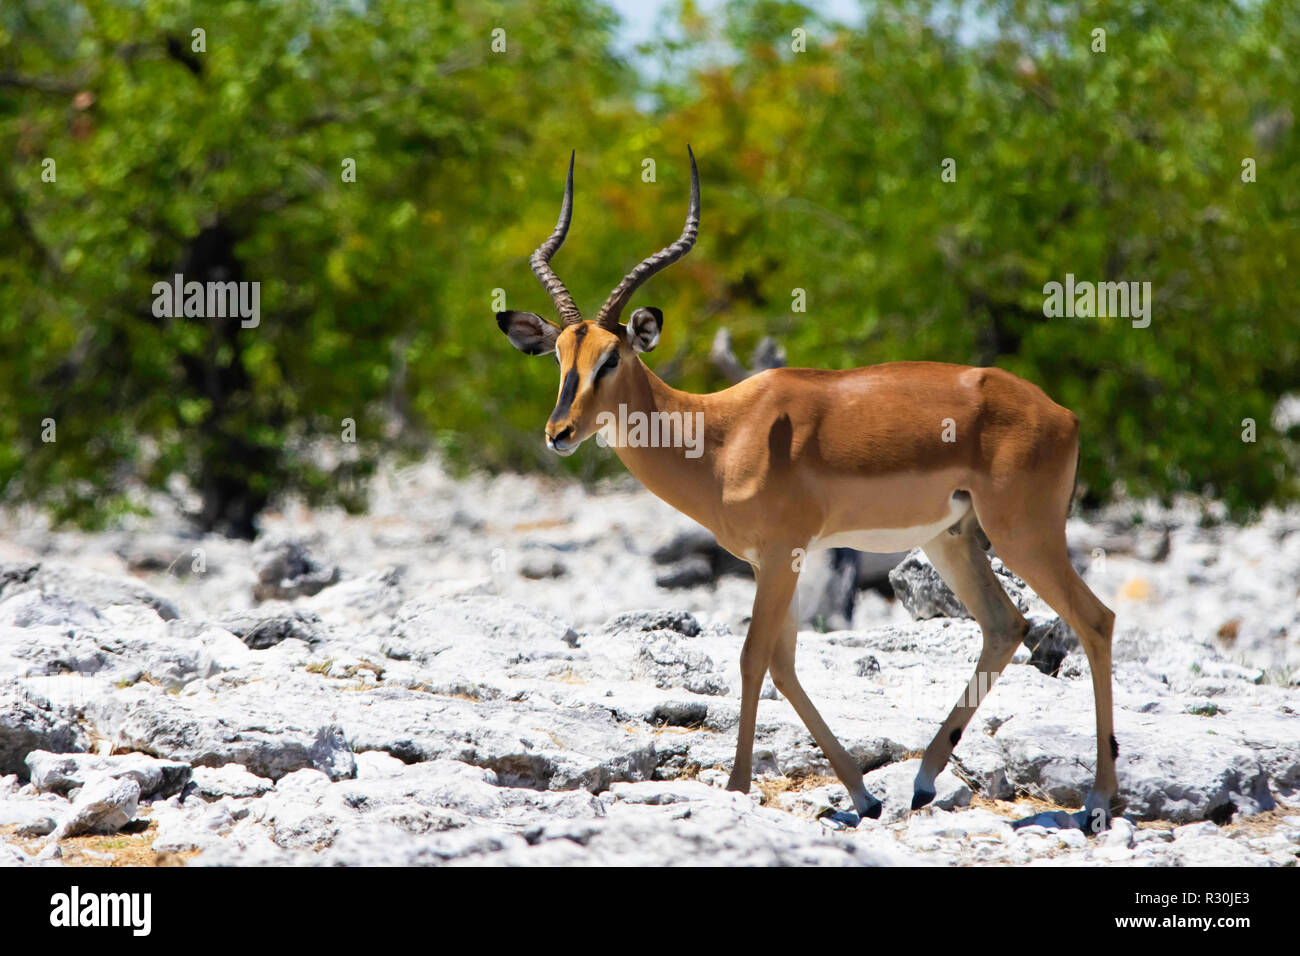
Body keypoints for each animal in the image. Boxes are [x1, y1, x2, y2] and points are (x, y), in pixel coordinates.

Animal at [495, 148, 1122, 831]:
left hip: (1023, 534)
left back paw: (1098, 802)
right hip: (952, 539)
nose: (559, 432)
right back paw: (922, 783)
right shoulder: (776, 560)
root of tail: (1064, 414)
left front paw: (737, 787)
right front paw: (863, 796)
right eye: (560, 355)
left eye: (611, 358)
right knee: (1006, 625)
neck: (722, 434)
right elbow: (783, 662)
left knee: (1096, 619)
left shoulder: (780, 554)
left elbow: (752, 657)